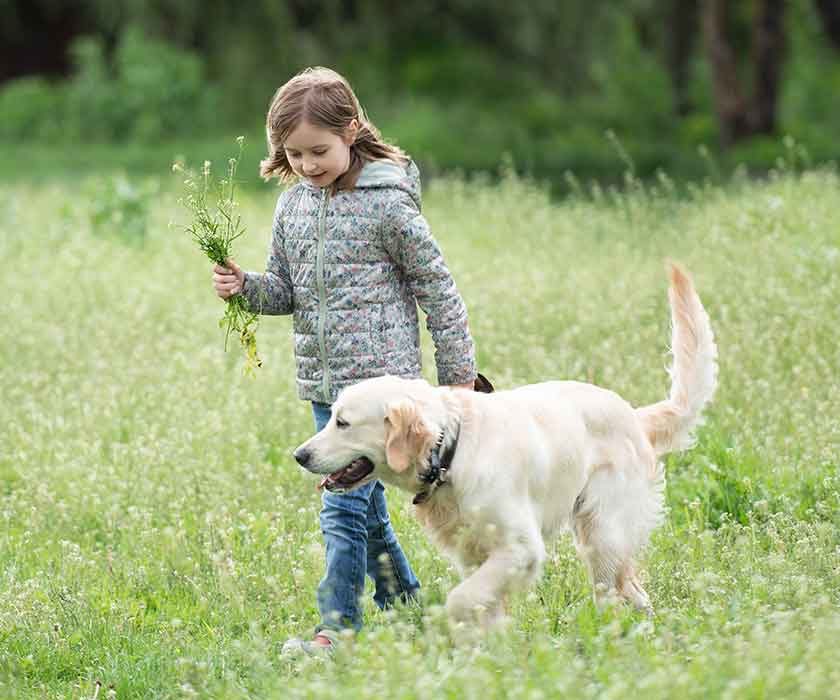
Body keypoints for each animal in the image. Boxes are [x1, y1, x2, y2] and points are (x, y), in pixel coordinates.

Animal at [294, 262, 716, 628]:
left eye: (343, 423)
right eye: (330, 417)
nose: (300, 455)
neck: (450, 455)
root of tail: (633, 414)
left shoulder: (521, 548)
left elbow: (460, 600)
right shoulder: (475, 554)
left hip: (603, 532)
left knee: (615, 591)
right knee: (634, 591)